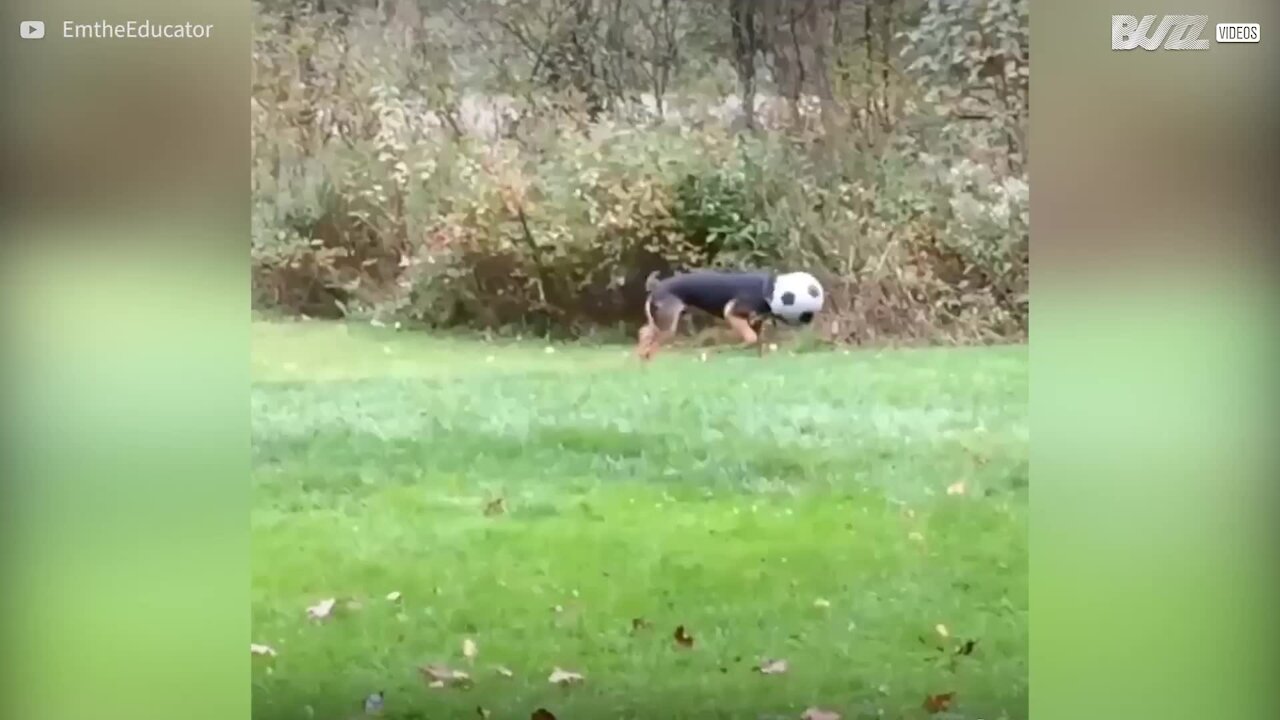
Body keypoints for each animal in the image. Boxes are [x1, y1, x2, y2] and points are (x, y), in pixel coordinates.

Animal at [634, 267, 773, 358]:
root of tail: (656, 288)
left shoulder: (757, 322)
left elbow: (757, 342)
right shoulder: (731, 312)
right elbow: (750, 338)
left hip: (659, 321)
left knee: (644, 332)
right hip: (668, 325)